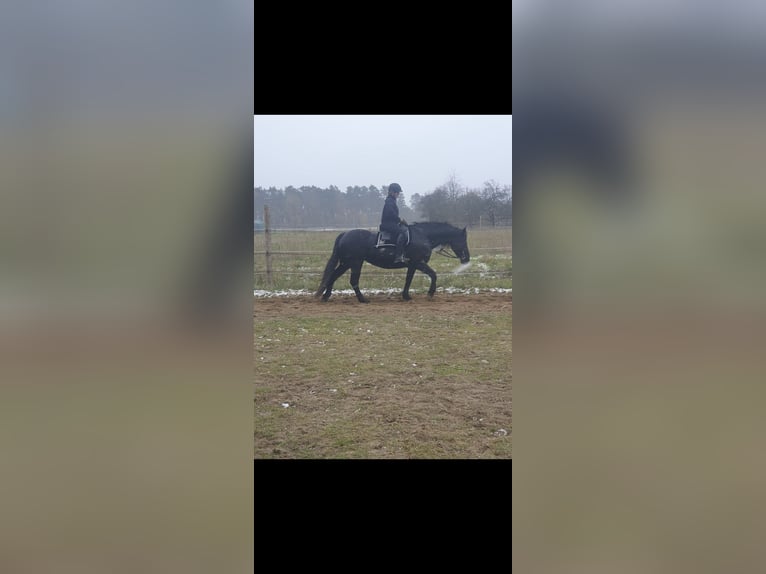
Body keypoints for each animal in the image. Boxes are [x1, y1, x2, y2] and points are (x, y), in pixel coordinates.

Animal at [314, 221, 470, 303]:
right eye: (463, 240)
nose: (467, 258)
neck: (423, 236)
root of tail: (344, 234)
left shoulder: (412, 265)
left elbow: (409, 279)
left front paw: (406, 296)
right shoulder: (418, 263)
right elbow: (433, 274)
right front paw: (430, 293)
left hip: (346, 263)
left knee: (333, 276)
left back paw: (326, 296)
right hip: (355, 263)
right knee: (353, 280)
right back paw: (362, 299)